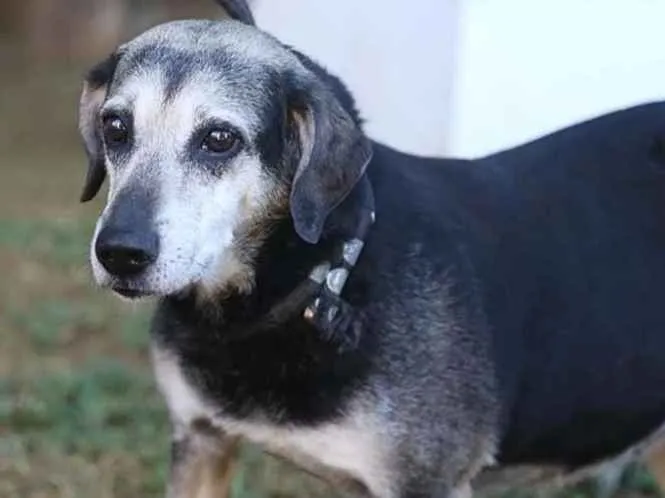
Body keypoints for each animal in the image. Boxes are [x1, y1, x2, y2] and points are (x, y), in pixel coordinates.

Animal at [78, 1, 665, 496]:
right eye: (115, 127)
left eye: (219, 139)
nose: (120, 253)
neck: (319, 276)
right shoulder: (201, 438)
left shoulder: (425, 482)